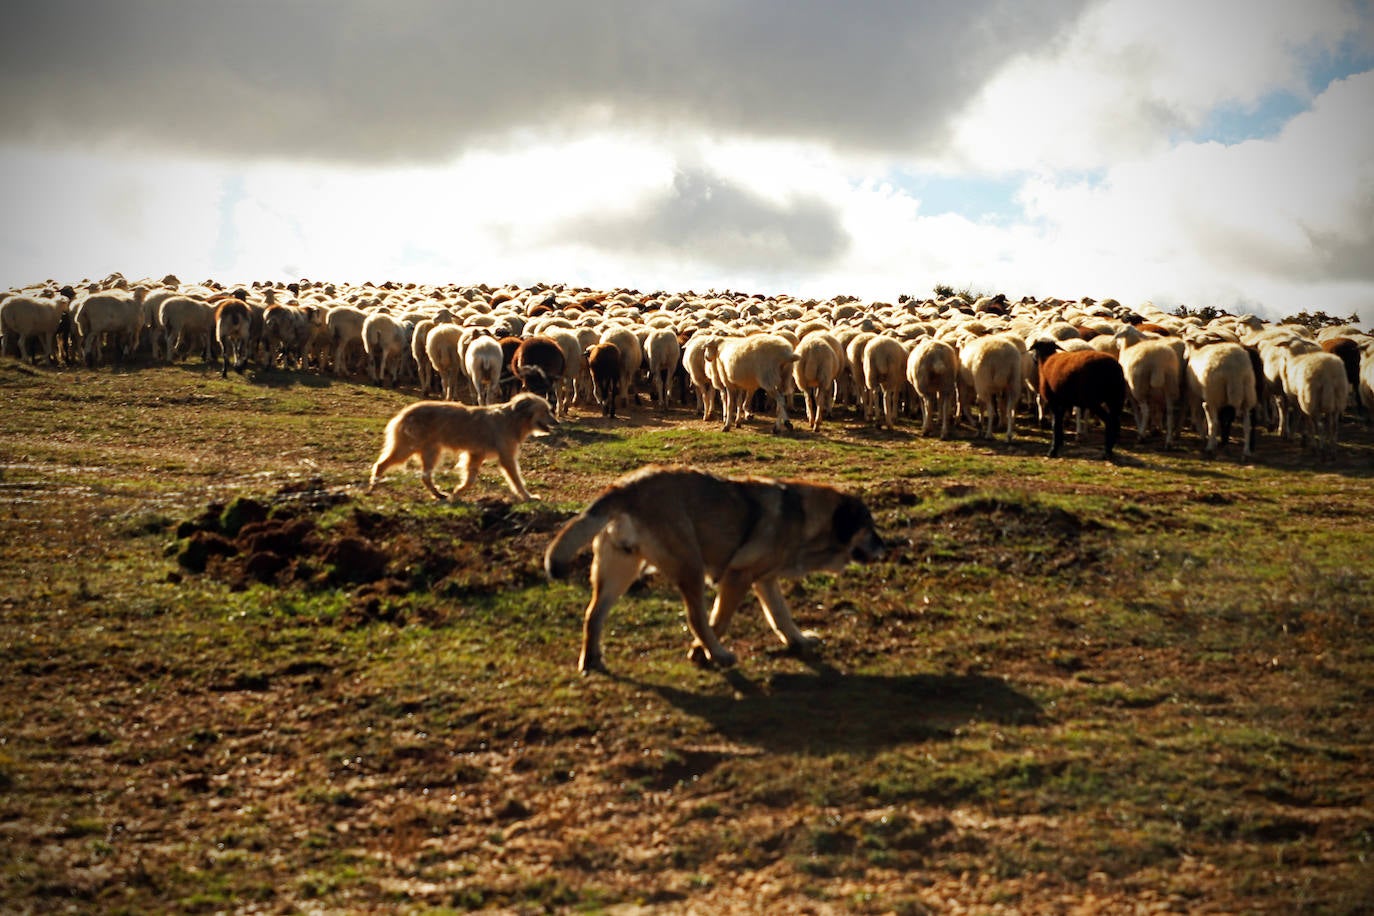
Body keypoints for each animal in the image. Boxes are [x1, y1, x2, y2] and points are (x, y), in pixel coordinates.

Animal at [368, 392, 560, 502]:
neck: (513, 419)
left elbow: (469, 480)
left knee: (425, 477)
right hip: (407, 448)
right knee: (380, 464)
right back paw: (373, 486)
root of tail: (403, 413)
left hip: (431, 451)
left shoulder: (476, 455)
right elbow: (517, 481)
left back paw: (438, 495)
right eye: (546, 410)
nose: (557, 422)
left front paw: (457, 492)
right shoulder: (506, 458)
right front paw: (528, 496)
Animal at [541, 466, 884, 672]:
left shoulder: (766, 581)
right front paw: (700, 653)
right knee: (696, 619)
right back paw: (719, 654)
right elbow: (720, 620)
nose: (887, 547)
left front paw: (799, 641)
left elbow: (782, 617)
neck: (805, 518)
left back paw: (590, 661)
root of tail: (626, 487)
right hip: (690, 567)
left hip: (619, 573)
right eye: (869, 527)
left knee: (592, 615)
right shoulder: (737, 577)